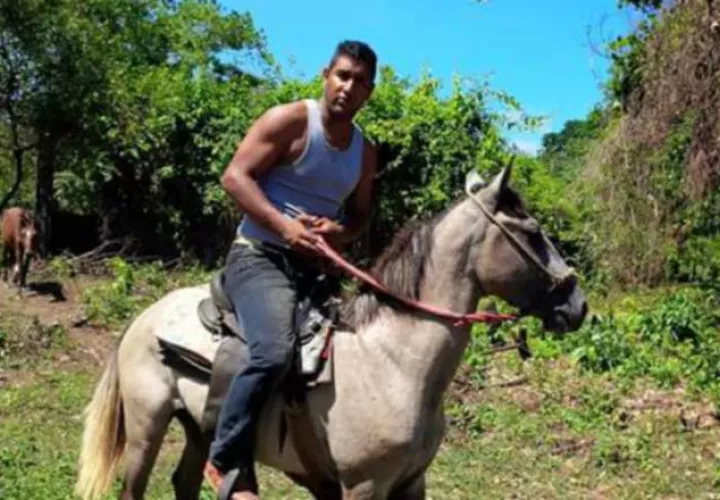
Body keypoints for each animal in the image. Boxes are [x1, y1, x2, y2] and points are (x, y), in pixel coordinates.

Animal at [75, 165, 588, 500]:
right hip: (147, 427)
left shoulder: (411, 483)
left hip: (198, 427)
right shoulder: (363, 487)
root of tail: (145, 317)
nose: (578, 305)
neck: (394, 362)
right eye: (534, 232)